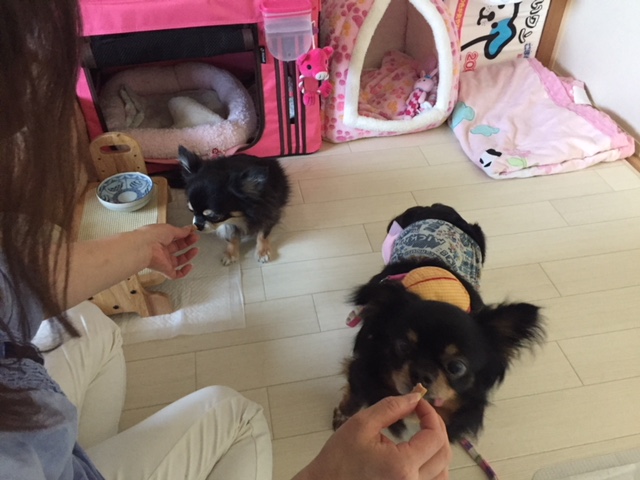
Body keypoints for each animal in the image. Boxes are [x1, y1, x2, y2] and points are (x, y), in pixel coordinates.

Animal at [333, 204, 545, 442]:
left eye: (457, 367)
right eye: (402, 346)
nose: (421, 374)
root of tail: (439, 207)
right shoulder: (362, 368)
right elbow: (354, 396)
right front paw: (343, 419)